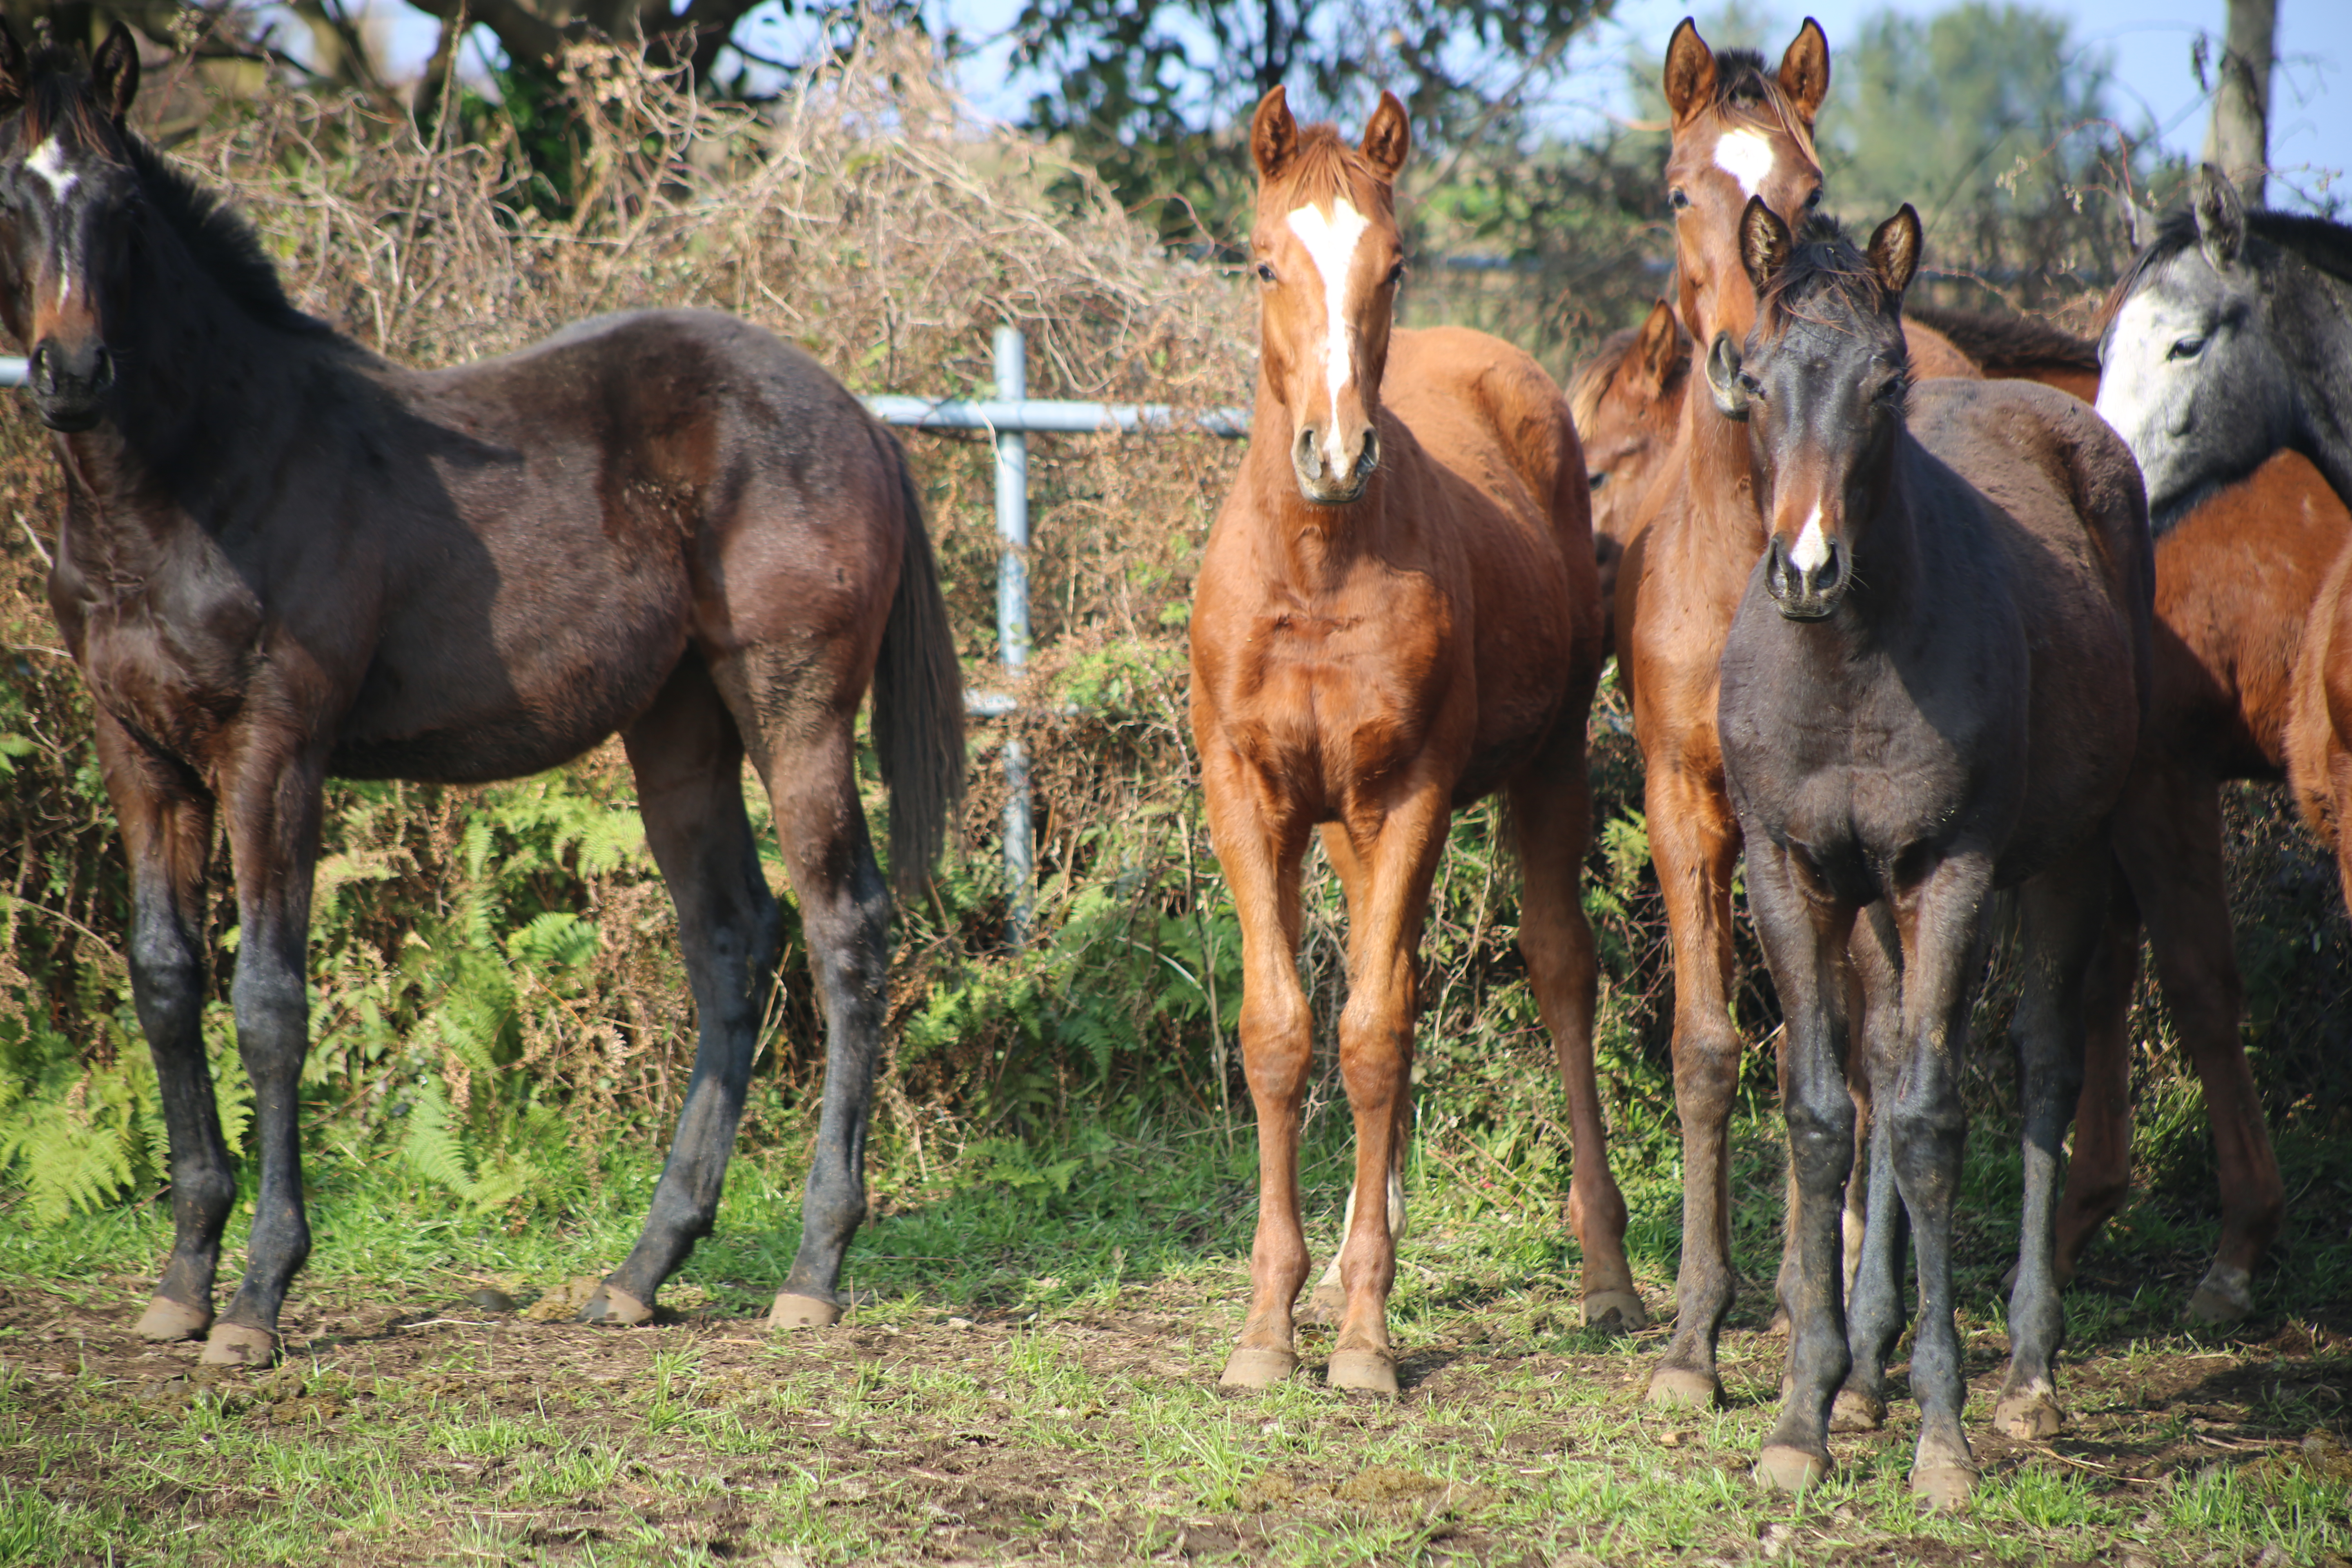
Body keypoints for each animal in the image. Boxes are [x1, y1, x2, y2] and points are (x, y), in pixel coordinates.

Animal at [0, 24, 960, 1363]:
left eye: (123, 203)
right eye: (11, 194)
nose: (74, 372)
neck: (195, 480)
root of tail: (860, 416)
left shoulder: (273, 752)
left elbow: (268, 1002)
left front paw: (256, 1298)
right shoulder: (139, 751)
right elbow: (165, 982)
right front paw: (184, 1281)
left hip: (795, 711)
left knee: (845, 929)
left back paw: (814, 1269)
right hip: (677, 728)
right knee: (732, 938)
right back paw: (642, 1268)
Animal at [1195, 86, 1637, 1392]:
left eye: (1391, 264)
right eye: (1263, 261)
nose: (1336, 452)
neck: (1314, 568)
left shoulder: (1414, 794)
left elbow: (1375, 1034)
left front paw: (1361, 1339)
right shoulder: (1251, 797)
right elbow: (1284, 1034)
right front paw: (1268, 1327)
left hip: (1543, 770)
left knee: (1558, 972)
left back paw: (1608, 1277)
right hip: (1349, 825)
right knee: (1392, 976)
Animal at [1712, 200, 2154, 1504]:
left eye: (1885, 382)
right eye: (1755, 379)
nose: (1806, 569)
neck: (1844, 669)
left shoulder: (1951, 873)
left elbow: (1925, 1123)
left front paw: (1943, 1432)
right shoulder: (1791, 873)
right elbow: (1823, 1115)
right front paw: (1804, 1414)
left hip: (2068, 856)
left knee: (2046, 1064)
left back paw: (2028, 1377)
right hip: (1873, 902)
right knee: (1880, 1055)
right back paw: (1864, 1370)